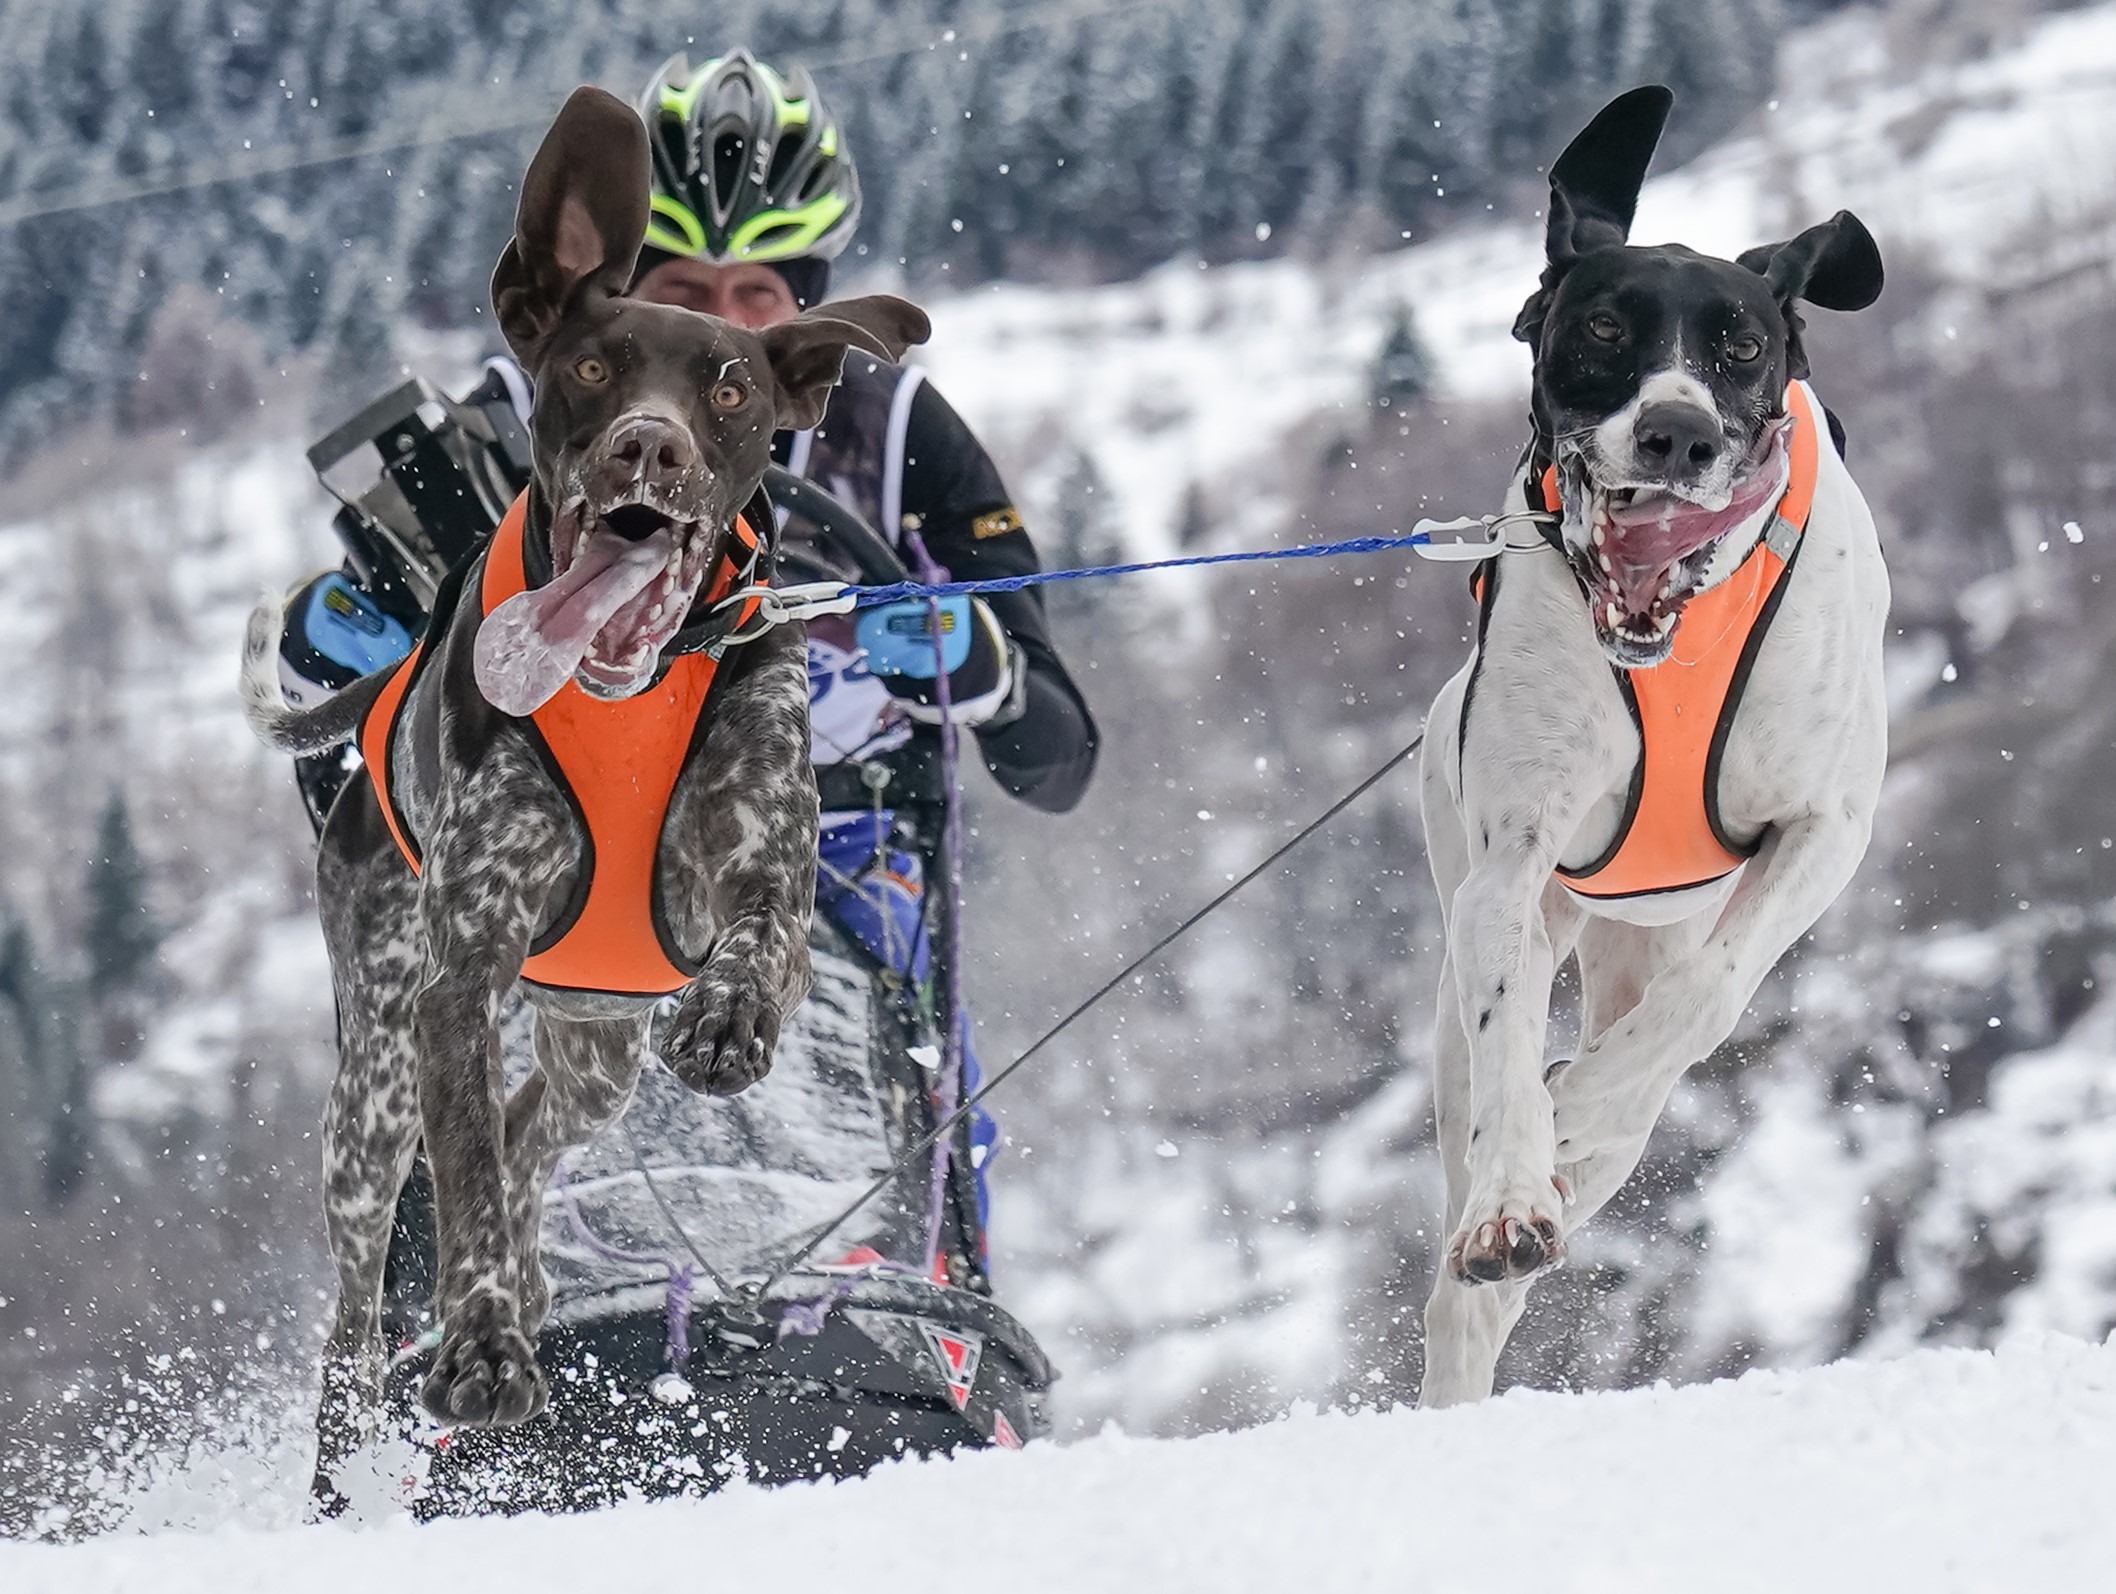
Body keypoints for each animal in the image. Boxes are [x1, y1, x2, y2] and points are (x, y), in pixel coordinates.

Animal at [1421, 89, 1887, 1405]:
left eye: (1739, 346)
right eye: (1602, 326)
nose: (1675, 434)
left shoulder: (1824, 830)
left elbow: (1706, 998)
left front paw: (1583, 1108)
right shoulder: (1507, 865)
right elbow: (1510, 1039)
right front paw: (1516, 1185)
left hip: (1650, 932)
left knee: (1651, 1031)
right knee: (1463, 1274)